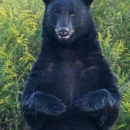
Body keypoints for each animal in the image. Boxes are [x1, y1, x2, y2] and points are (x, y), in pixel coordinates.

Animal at [20, 0, 120, 129]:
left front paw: (84, 103)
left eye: (73, 13)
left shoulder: (96, 67)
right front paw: (55, 105)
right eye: (56, 12)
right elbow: (28, 102)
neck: (68, 51)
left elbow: (112, 100)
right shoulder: (44, 68)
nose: (63, 30)